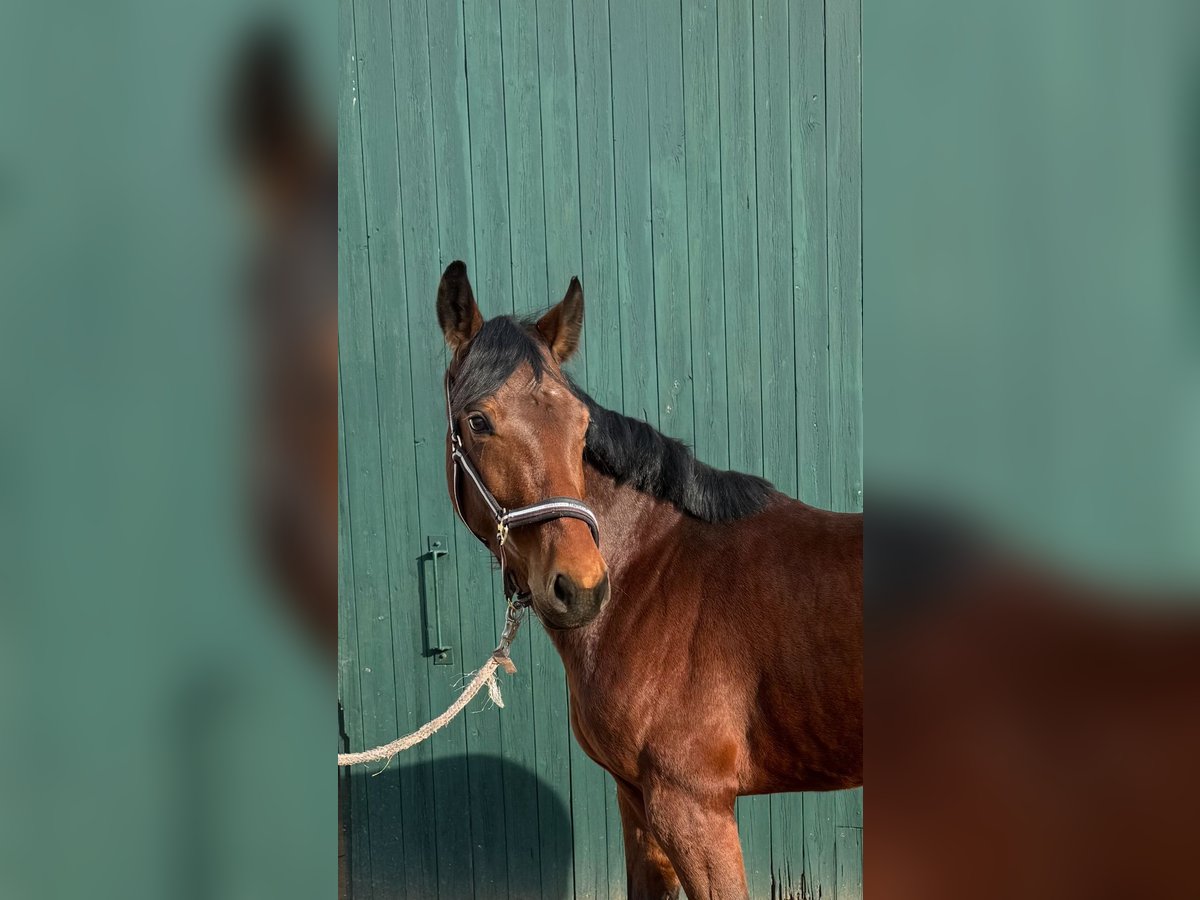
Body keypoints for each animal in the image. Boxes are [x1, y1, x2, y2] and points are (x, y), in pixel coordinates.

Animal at [439, 262, 864, 900]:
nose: (581, 588)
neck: (653, 570)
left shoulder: (693, 808)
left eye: (581, 426)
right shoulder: (636, 800)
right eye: (478, 420)